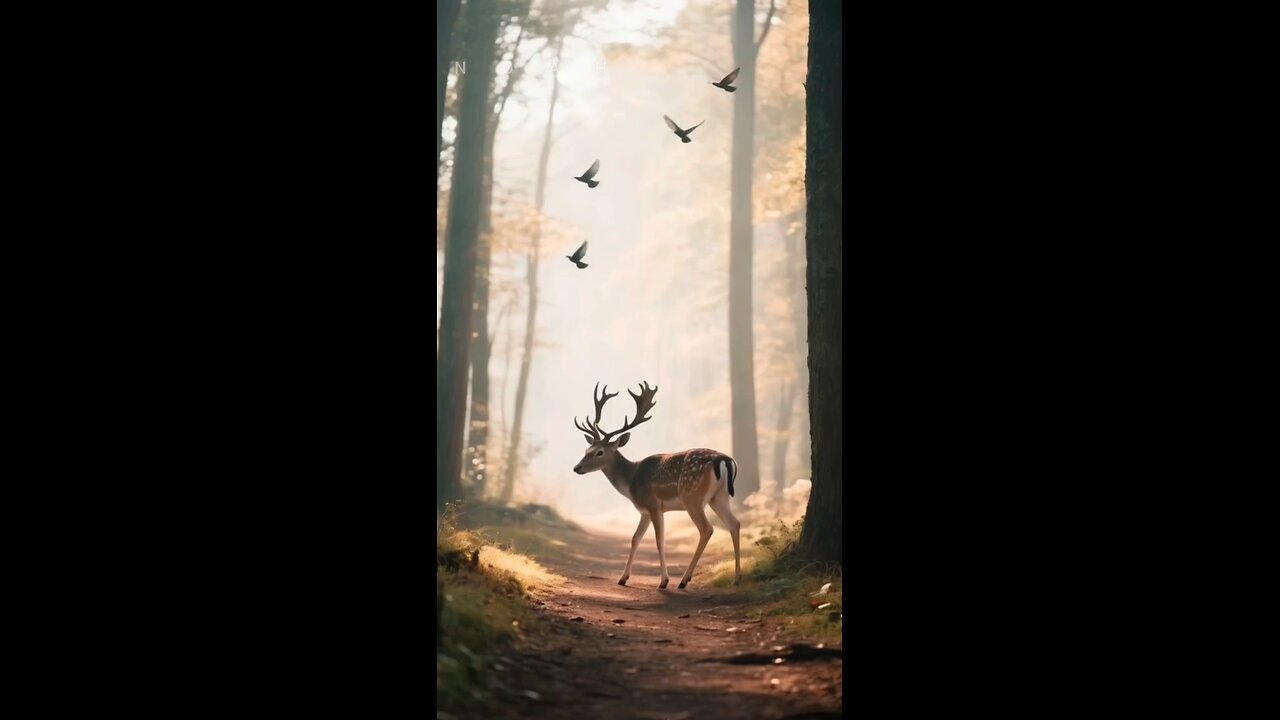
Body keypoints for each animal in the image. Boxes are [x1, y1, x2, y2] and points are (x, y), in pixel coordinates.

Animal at [571, 382, 742, 589]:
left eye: (599, 452)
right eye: (587, 449)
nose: (577, 467)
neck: (631, 481)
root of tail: (725, 460)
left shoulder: (653, 505)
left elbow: (659, 540)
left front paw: (664, 581)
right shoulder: (644, 511)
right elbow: (635, 538)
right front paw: (623, 578)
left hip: (692, 497)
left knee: (707, 529)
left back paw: (683, 580)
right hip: (719, 497)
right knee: (735, 524)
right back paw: (737, 578)